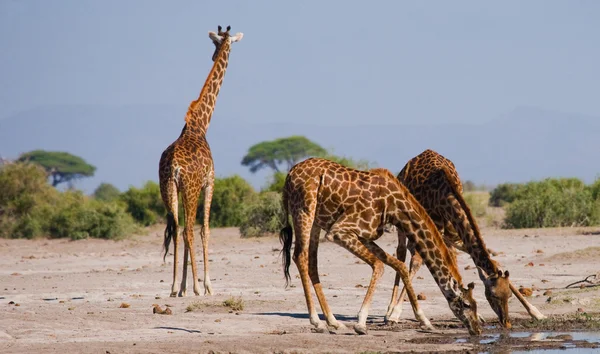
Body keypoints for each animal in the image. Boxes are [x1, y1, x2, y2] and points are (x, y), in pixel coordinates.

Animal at [159, 24, 244, 298]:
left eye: (215, 45)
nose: (214, 55)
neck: (199, 125)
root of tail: (173, 166)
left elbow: (184, 231)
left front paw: (183, 286)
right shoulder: (210, 181)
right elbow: (205, 229)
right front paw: (205, 285)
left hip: (169, 189)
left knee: (177, 230)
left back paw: (173, 287)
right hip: (191, 187)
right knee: (188, 230)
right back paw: (197, 286)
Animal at [282, 159, 482, 336]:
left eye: (476, 303)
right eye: (466, 304)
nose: (477, 329)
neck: (395, 207)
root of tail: (289, 174)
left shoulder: (365, 235)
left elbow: (398, 265)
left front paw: (424, 321)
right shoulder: (339, 231)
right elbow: (379, 265)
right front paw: (361, 323)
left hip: (316, 221)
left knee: (312, 263)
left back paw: (334, 322)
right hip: (304, 210)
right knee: (299, 256)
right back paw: (317, 322)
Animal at [384, 149, 548, 326]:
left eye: (508, 295)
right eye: (493, 294)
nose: (506, 323)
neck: (444, 193)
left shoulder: (453, 235)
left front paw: (536, 313)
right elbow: (416, 263)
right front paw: (395, 314)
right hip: (402, 219)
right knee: (401, 253)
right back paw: (389, 311)